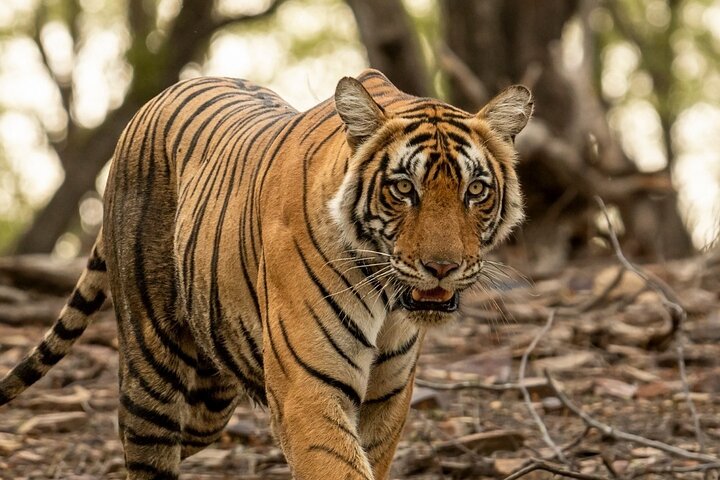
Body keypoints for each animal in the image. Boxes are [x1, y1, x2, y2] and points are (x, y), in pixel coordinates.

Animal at [0, 69, 532, 479]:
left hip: (211, 398)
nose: (442, 267)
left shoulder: (388, 397)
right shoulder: (308, 388)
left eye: (476, 190)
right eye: (403, 189)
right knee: (145, 446)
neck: (387, 297)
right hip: (151, 365)